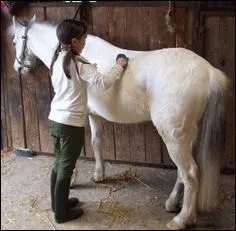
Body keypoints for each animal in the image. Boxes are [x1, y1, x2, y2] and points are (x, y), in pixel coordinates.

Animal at [9, 15, 230, 229]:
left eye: (14, 42)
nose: (18, 67)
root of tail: (209, 72)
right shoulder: (94, 115)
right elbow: (97, 142)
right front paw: (99, 174)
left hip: (173, 137)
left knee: (190, 173)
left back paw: (182, 219)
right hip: (186, 135)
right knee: (182, 173)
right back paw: (173, 203)